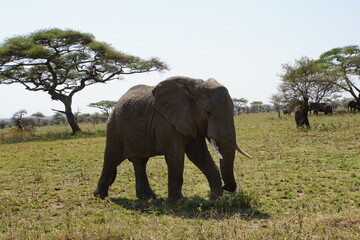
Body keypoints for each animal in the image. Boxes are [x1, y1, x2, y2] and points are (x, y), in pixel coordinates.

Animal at [93, 75, 250, 202]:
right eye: (208, 112)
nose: (225, 187)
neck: (194, 87)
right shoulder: (165, 121)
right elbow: (176, 155)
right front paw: (179, 202)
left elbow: (198, 154)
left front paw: (216, 199)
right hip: (114, 128)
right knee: (111, 159)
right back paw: (100, 196)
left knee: (139, 162)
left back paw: (148, 198)